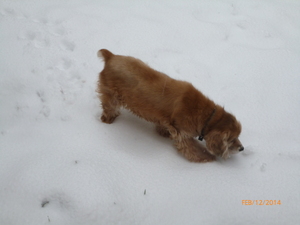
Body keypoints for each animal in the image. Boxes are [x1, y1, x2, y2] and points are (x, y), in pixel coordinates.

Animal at [96, 48, 244, 162]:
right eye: (232, 139)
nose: (242, 148)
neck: (208, 116)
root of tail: (111, 56)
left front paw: (163, 132)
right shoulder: (182, 133)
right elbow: (191, 148)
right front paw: (205, 157)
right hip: (112, 97)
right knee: (108, 109)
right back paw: (108, 119)